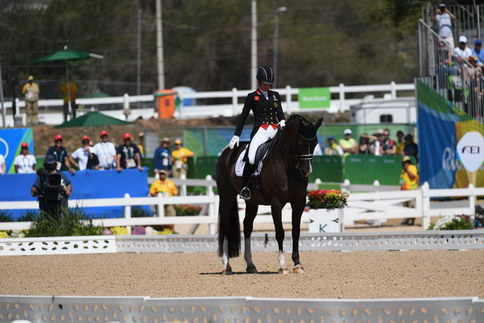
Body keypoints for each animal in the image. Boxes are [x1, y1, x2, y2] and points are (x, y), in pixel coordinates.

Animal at [216, 115, 322, 274]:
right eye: (300, 142)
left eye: (315, 143)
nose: (306, 171)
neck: (288, 165)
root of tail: (226, 153)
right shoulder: (276, 203)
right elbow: (280, 232)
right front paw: (282, 265)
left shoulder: (299, 201)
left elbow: (296, 232)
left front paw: (297, 264)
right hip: (226, 196)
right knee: (225, 226)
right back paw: (226, 265)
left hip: (252, 202)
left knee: (247, 226)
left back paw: (250, 265)